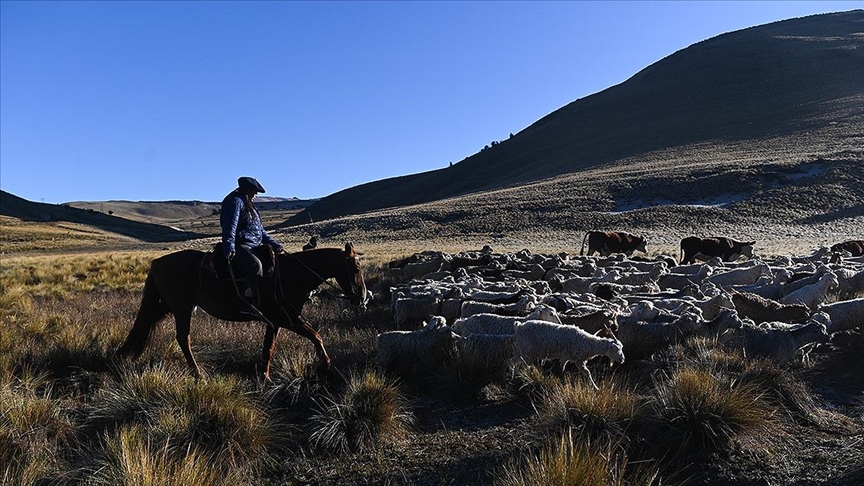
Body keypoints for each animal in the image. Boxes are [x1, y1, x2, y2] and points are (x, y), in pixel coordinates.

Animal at [116, 242, 366, 380]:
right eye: (355, 267)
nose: (362, 297)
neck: (293, 275)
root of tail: (157, 262)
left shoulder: (275, 322)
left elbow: (268, 348)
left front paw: (265, 377)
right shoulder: (289, 319)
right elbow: (316, 336)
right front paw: (325, 365)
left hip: (169, 306)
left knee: (147, 324)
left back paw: (122, 353)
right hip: (182, 308)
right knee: (182, 338)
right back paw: (198, 373)